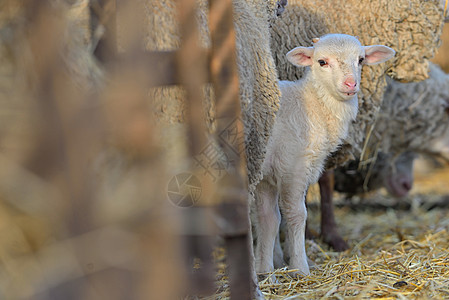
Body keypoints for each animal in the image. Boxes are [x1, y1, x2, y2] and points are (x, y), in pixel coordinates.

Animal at [254, 33, 394, 276]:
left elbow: (269, 219)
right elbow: (296, 215)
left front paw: (267, 271)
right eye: (322, 62)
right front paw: (300, 267)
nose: (350, 84)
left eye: (361, 60)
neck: (313, 104)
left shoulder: (268, 173)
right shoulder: (293, 167)